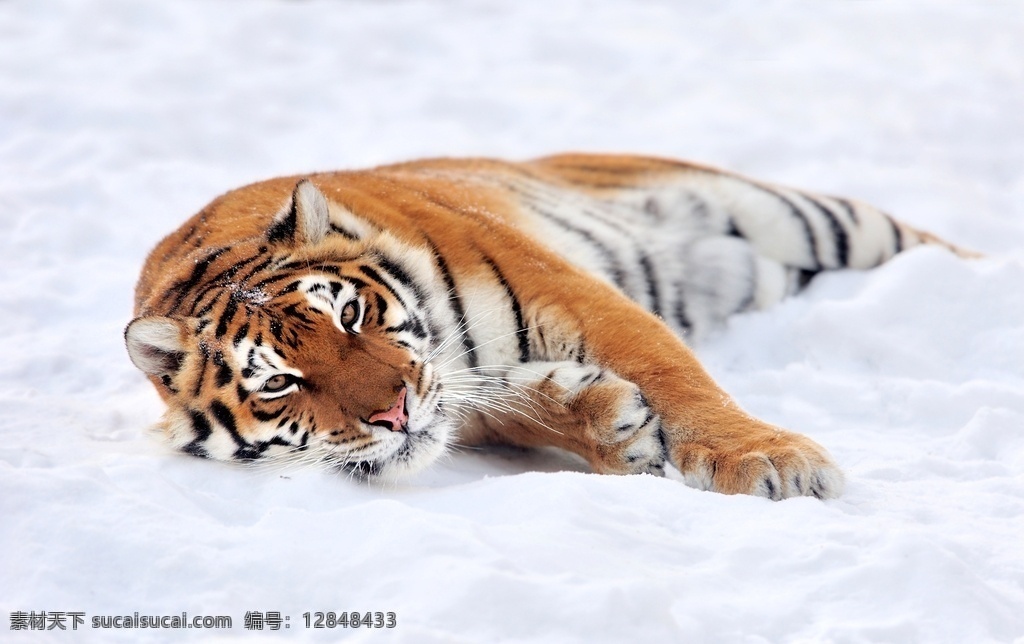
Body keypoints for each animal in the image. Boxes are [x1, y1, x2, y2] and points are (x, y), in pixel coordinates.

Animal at [125, 153, 971, 500]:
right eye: (279, 382)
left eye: (351, 314)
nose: (393, 412)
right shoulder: (458, 399)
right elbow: (508, 406)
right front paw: (610, 426)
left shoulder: (566, 290)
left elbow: (674, 375)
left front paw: (770, 461)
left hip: (807, 216)